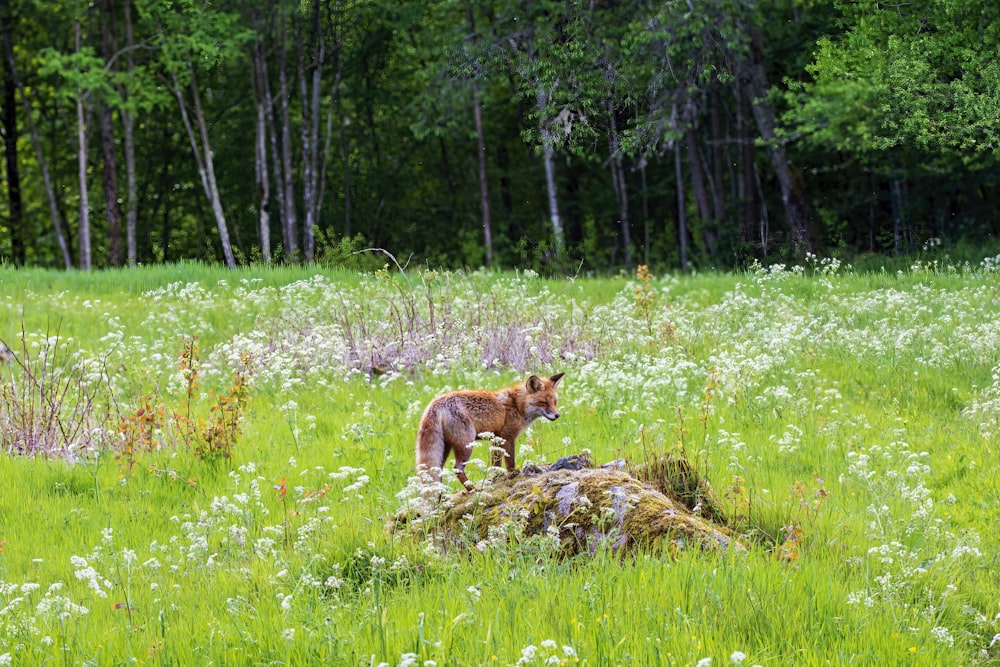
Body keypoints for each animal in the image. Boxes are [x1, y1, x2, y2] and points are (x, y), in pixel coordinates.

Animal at [416, 374, 568, 494]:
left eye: (555, 402)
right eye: (544, 402)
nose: (557, 415)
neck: (517, 404)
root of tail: (435, 403)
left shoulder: (496, 439)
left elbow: (496, 465)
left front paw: (496, 480)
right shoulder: (507, 436)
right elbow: (510, 463)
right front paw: (513, 476)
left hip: (445, 448)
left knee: (436, 472)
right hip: (466, 444)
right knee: (457, 469)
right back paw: (472, 489)